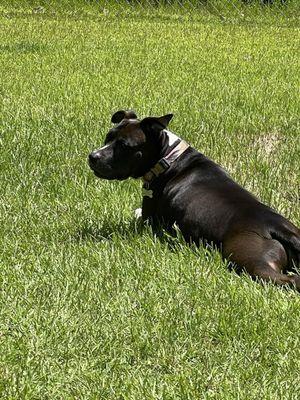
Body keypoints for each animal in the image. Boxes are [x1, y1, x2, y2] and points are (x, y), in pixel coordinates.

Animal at [88, 111, 300, 290]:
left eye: (124, 146)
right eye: (108, 137)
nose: (92, 156)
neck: (168, 157)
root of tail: (277, 226)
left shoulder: (148, 219)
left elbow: (137, 214)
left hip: (249, 259)